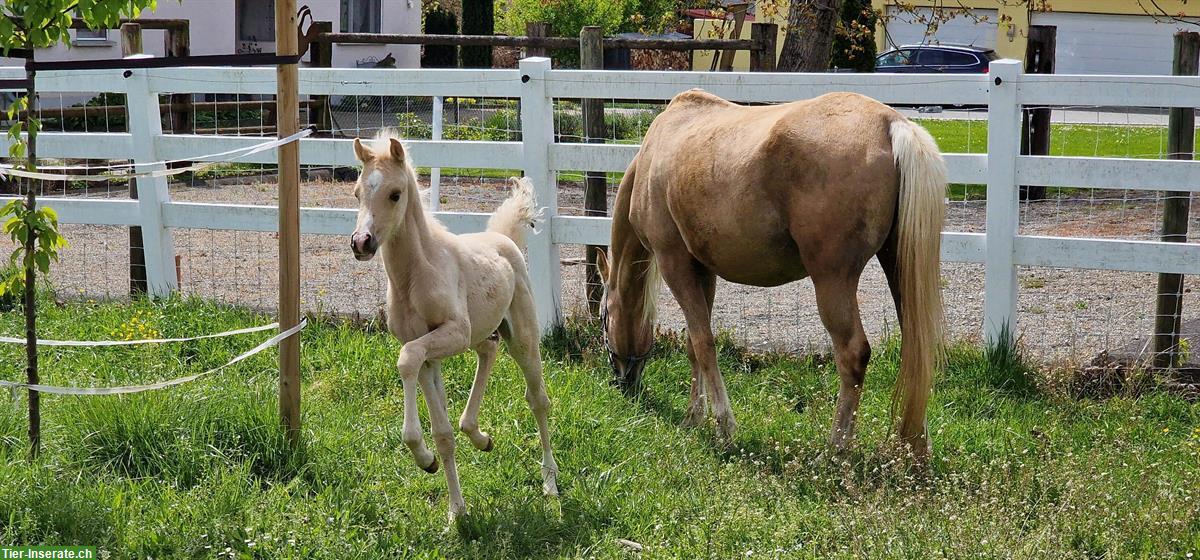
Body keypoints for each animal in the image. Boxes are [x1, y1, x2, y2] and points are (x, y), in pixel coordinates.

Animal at [350, 131, 559, 522]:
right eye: (357, 193)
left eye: (395, 193)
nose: (361, 243)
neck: (415, 276)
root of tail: (503, 238)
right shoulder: (429, 353)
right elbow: (443, 432)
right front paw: (451, 502)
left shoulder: (452, 334)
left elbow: (406, 358)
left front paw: (427, 462)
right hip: (482, 331)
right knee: (488, 350)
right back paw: (479, 436)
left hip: (522, 335)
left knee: (538, 399)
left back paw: (550, 482)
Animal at [600, 91, 945, 460]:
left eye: (604, 318)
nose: (624, 382)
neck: (655, 152)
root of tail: (890, 123)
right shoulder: (702, 271)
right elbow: (695, 344)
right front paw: (694, 417)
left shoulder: (674, 263)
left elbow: (704, 344)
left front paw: (723, 427)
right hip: (898, 268)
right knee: (916, 351)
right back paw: (916, 446)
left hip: (832, 281)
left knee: (854, 353)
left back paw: (835, 448)